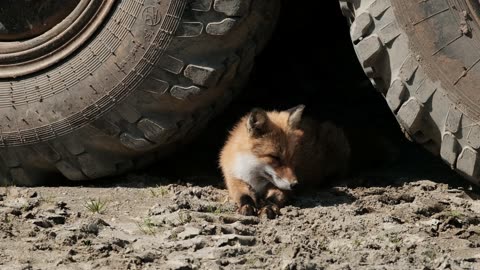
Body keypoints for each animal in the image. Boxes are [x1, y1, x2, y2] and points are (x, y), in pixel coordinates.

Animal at [219, 104, 350, 218]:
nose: (295, 184)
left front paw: (268, 207)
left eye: (292, 157)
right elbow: (243, 195)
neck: (253, 174)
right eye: (275, 157)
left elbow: (273, 198)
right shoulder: (234, 179)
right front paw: (246, 206)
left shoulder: (282, 186)